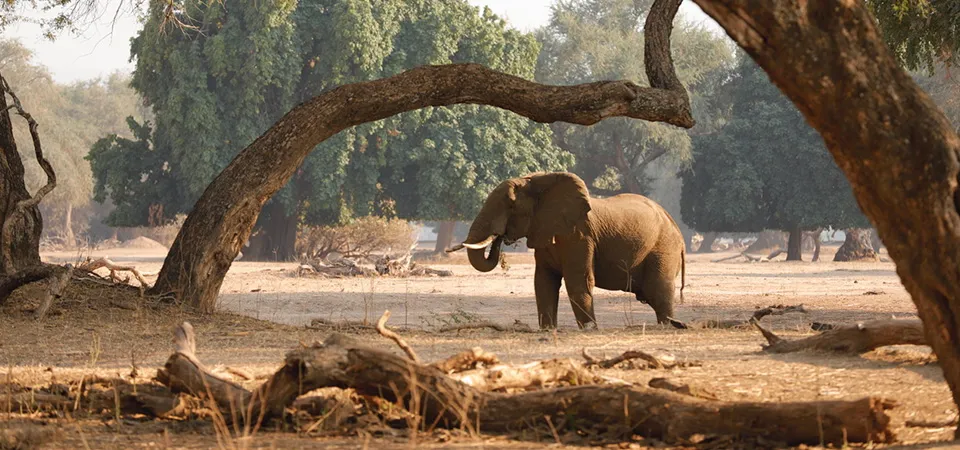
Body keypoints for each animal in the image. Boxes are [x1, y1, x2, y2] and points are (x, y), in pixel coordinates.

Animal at [448, 171, 684, 328]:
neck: (539, 181)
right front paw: (548, 329)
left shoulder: (579, 236)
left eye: (512, 205)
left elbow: (578, 280)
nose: (501, 237)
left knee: (658, 289)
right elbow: (543, 281)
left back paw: (670, 325)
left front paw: (589, 329)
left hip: (663, 248)